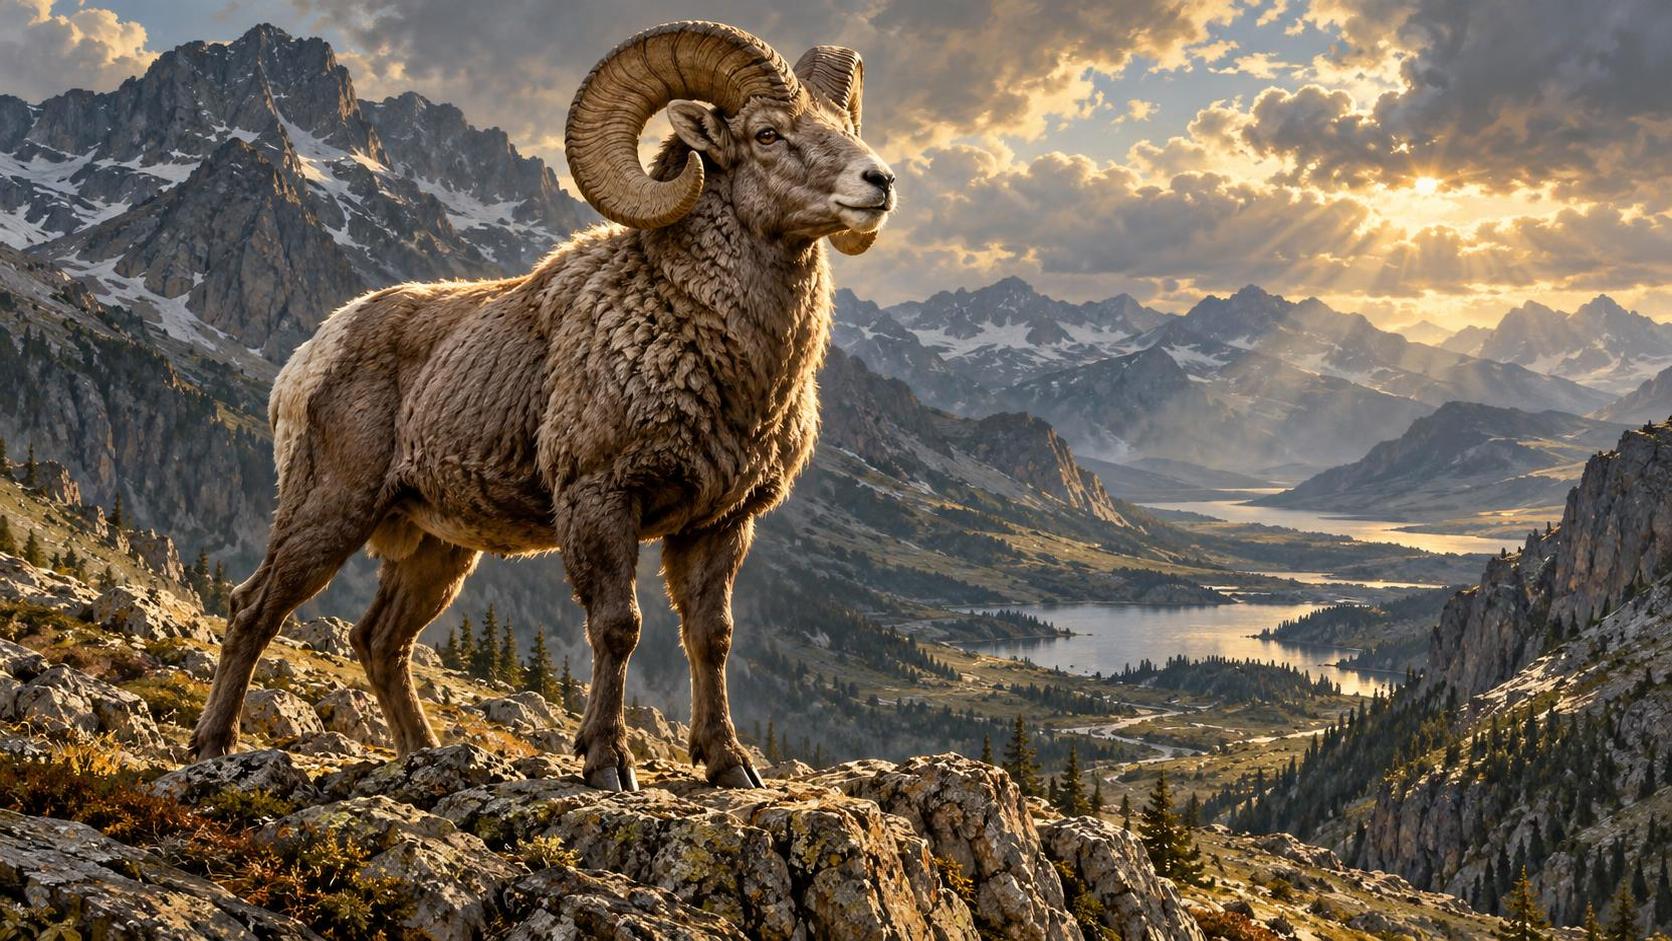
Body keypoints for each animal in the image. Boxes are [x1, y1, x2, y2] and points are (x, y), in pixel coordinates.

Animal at [188, 21, 895, 791]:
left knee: (379, 640)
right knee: (254, 608)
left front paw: (729, 764)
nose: (879, 182)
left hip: (436, 549)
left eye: (845, 126)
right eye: (767, 133)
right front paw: (607, 762)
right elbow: (618, 627)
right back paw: (214, 748)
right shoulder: (600, 499)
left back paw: (425, 754)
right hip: (330, 509)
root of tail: (309, 356)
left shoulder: (720, 523)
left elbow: (711, 638)